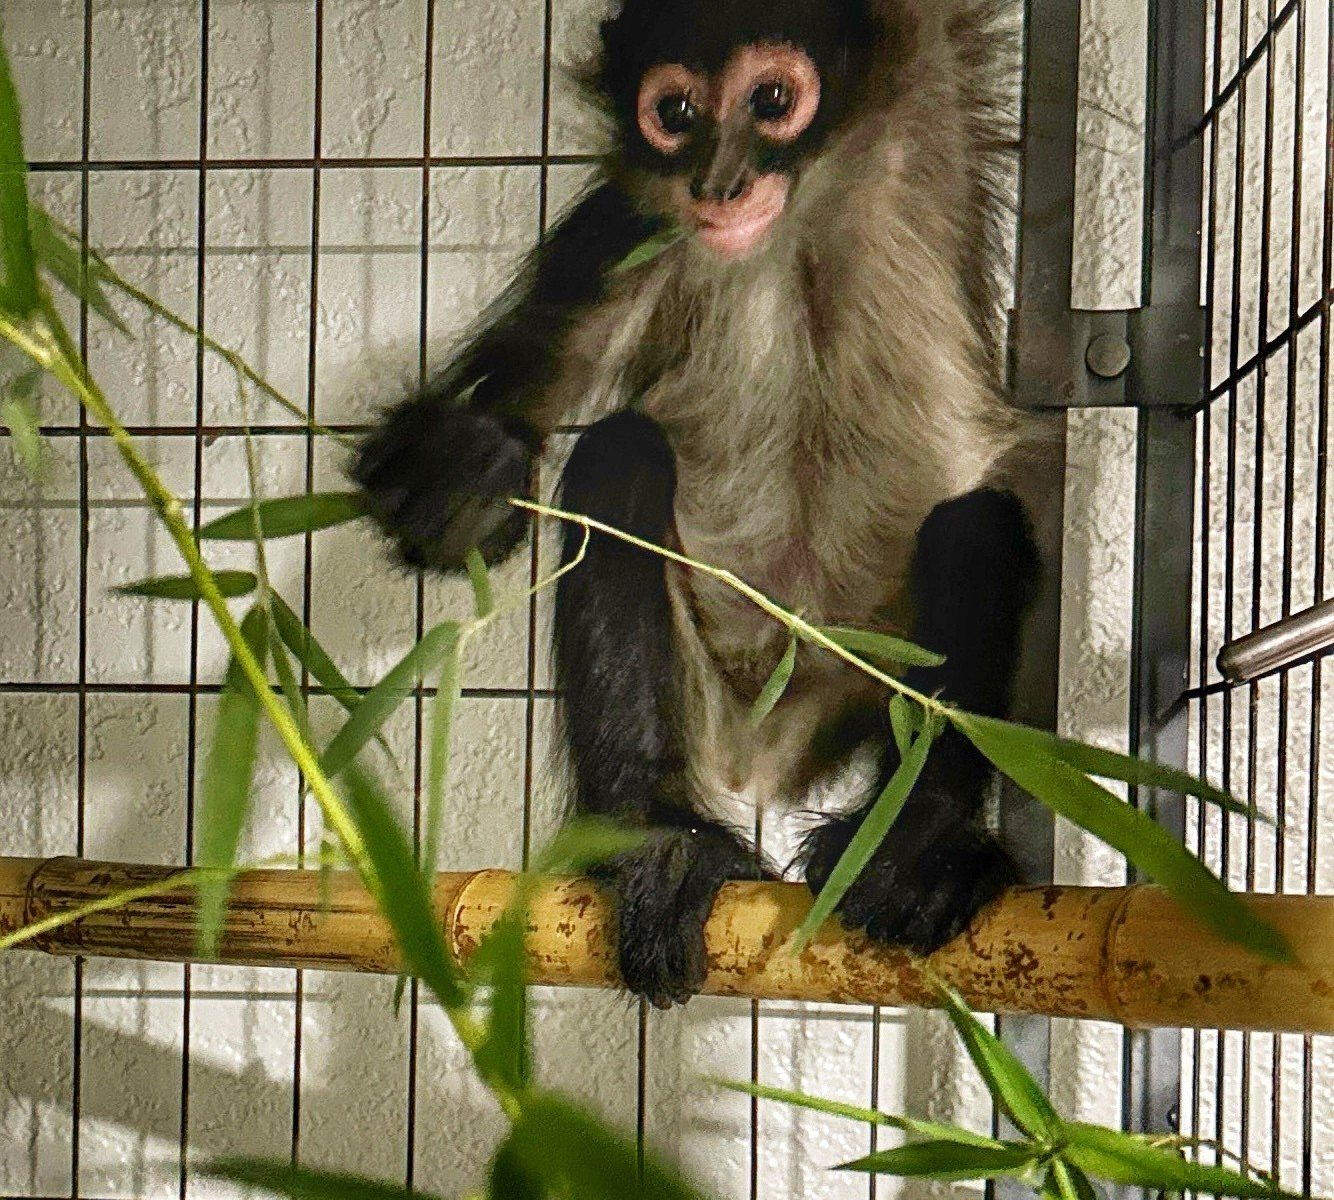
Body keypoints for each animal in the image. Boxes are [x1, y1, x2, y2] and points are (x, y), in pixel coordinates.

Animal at [354, 0, 1047, 1008]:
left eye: (773, 101)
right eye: (675, 112)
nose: (719, 182)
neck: (790, 228)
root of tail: (772, 750)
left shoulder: (920, 83)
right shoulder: (641, 218)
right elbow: (485, 465)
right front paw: (465, 467)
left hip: (866, 676)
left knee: (976, 523)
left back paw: (918, 840)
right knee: (620, 456)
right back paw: (662, 841)